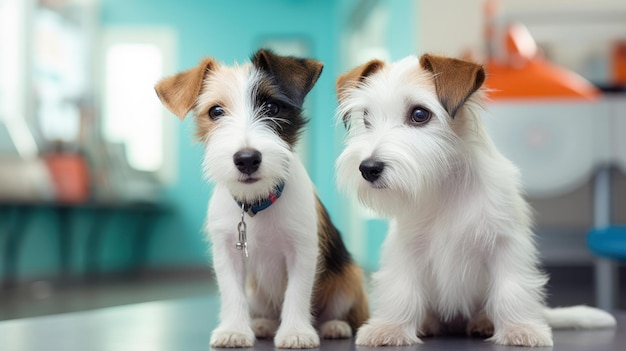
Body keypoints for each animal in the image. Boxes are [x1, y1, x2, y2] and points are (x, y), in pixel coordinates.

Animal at [154, 49, 366, 350]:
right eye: (216, 112)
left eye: (272, 109)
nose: (246, 159)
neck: (256, 202)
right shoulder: (227, 254)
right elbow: (232, 293)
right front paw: (234, 329)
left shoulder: (302, 250)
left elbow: (297, 292)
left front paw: (296, 332)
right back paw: (263, 324)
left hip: (348, 278)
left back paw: (334, 326)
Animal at [334, 53, 612, 348]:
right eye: (366, 117)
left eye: (419, 114)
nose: (369, 168)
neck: (445, 186)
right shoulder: (408, 249)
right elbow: (402, 289)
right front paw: (392, 328)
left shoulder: (505, 244)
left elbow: (510, 288)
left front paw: (519, 328)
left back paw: (484, 322)